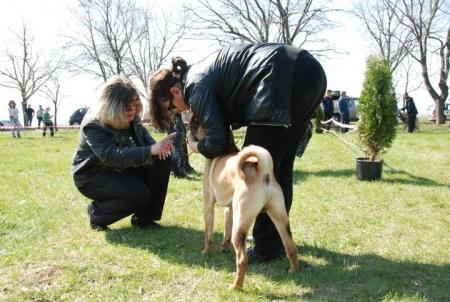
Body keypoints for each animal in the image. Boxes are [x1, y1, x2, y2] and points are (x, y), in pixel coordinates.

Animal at [190, 118, 298, 290]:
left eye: (200, 123)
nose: (191, 122)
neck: (226, 148)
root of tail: (263, 169)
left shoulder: (208, 206)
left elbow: (208, 235)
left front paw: (206, 252)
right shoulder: (229, 210)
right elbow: (226, 233)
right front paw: (224, 249)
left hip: (240, 225)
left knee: (242, 260)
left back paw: (236, 286)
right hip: (280, 219)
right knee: (291, 247)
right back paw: (293, 270)